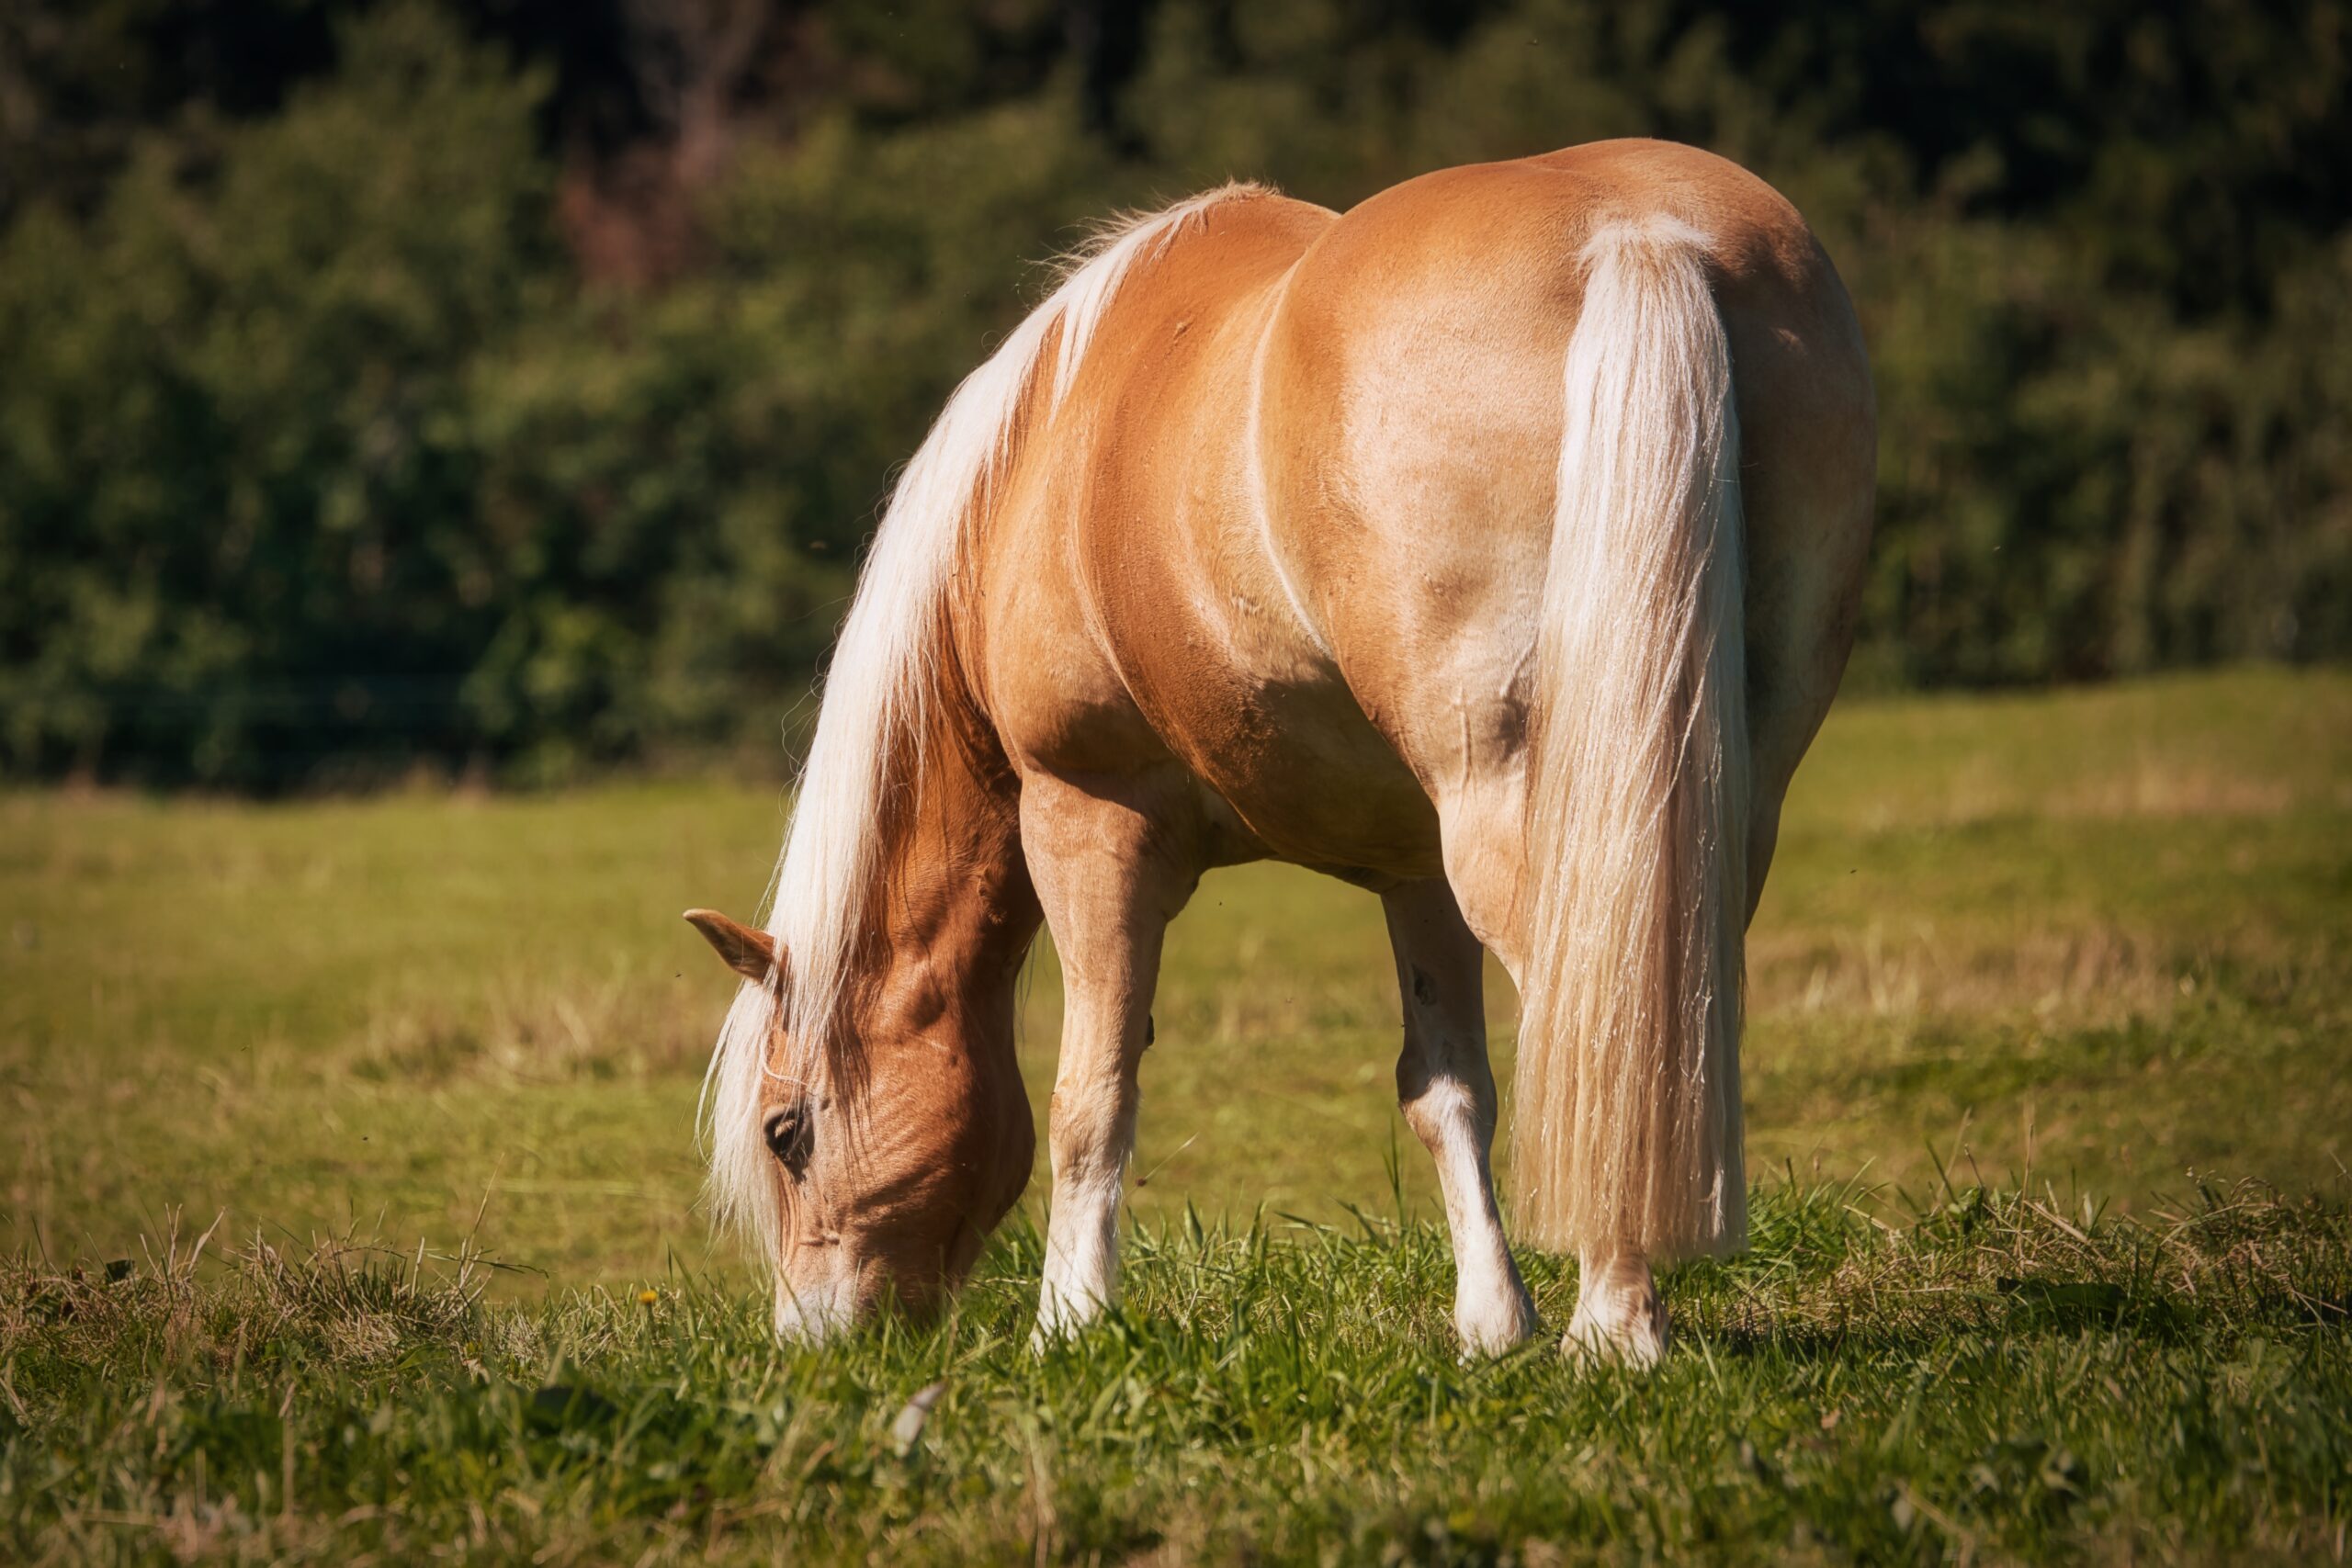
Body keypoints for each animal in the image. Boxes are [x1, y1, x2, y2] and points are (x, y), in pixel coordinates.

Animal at [684, 138, 1874, 1363]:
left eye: (786, 1131)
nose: (811, 1340)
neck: (1052, 447)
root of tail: (1639, 233)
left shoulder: (1086, 818)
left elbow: (1088, 1097)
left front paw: (1070, 1324)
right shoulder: (1412, 863)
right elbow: (1446, 1089)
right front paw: (1491, 1323)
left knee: (1594, 1026)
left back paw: (1615, 1326)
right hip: (1711, 803)